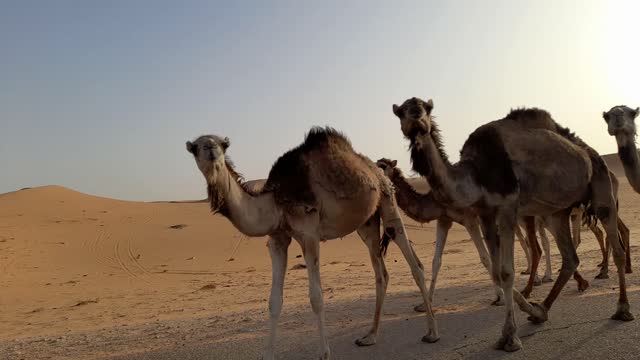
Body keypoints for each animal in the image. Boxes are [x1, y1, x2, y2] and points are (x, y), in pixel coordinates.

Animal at [182, 128, 438, 358]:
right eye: (196, 147)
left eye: (223, 145)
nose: (212, 151)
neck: (275, 200)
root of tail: (376, 168)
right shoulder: (277, 239)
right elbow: (274, 301)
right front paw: (268, 354)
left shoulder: (310, 235)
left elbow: (316, 297)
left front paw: (324, 353)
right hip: (367, 223)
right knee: (381, 274)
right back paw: (369, 337)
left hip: (387, 200)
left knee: (414, 263)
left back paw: (431, 332)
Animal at [392, 97, 632, 352]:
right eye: (402, 112)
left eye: (425, 108)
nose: (416, 118)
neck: (476, 173)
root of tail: (590, 152)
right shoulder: (486, 214)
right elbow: (495, 271)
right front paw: (522, 316)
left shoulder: (507, 206)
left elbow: (506, 272)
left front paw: (510, 337)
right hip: (555, 212)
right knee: (570, 258)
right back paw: (541, 311)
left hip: (602, 187)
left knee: (615, 245)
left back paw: (622, 309)